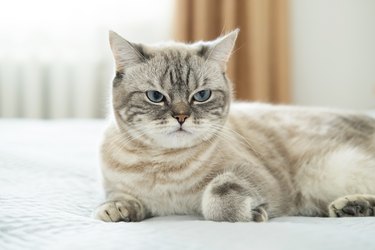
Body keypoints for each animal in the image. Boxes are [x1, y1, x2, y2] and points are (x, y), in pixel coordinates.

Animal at [94, 29, 375, 223]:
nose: (181, 117)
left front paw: (250, 212)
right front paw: (117, 210)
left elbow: (217, 197)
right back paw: (352, 208)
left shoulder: (260, 178)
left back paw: (353, 206)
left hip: (342, 167)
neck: (163, 165)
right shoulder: (118, 188)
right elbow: (117, 201)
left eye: (201, 95)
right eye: (155, 96)